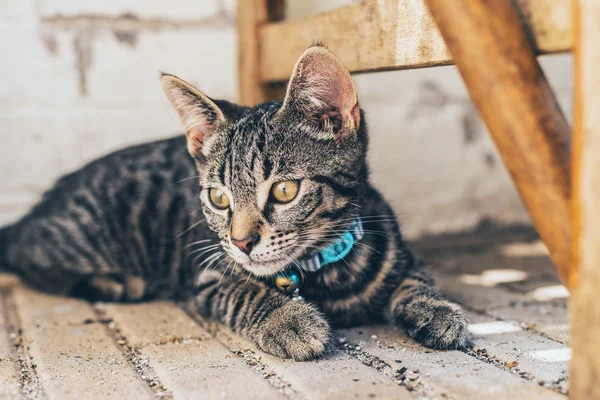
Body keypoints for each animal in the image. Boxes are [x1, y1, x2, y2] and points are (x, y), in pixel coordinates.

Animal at [0, 46, 468, 360]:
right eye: (218, 197)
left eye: (284, 191)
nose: (242, 243)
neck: (321, 271)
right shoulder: (207, 277)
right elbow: (245, 292)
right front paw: (290, 320)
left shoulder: (402, 252)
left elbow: (416, 279)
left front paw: (436, 309)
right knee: (28, 256)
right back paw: (116, 280)